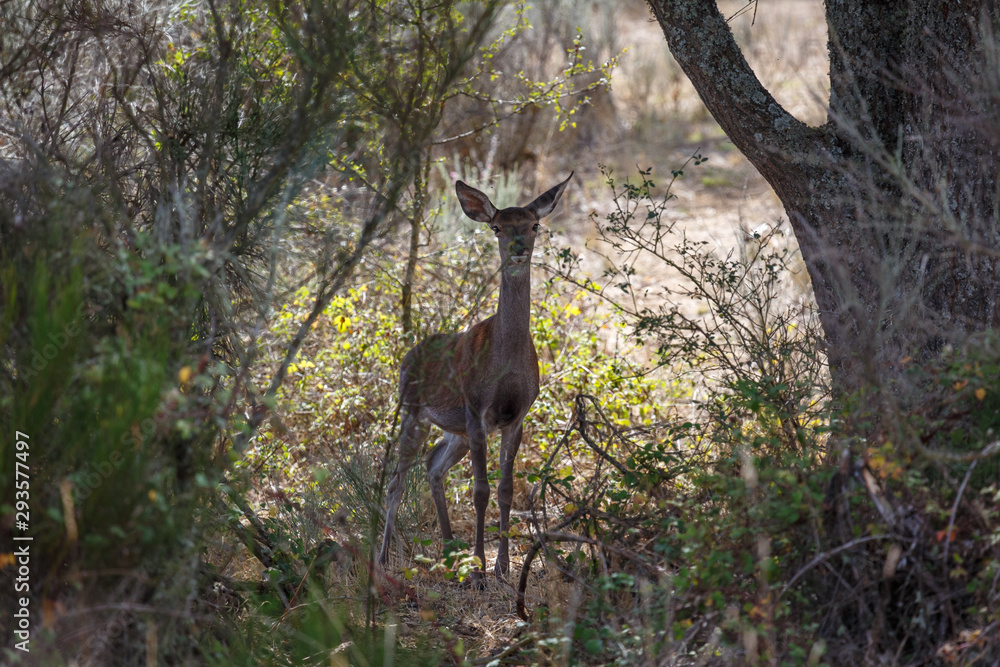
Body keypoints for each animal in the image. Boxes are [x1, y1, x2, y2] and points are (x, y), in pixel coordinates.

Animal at [377, 172, 573, 582]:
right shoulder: (476, 407)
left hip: (456, 431)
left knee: (433, 466)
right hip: (413, 410)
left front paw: (502, 569)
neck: (506, 362)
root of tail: (408, 355)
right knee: (397, 479)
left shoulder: (515, 415)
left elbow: (505, 489)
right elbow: (480, 490)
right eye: (496, 227)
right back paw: (384, 558)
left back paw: (451, 550)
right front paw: (482, 570)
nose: (518, 248)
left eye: (534, 224)